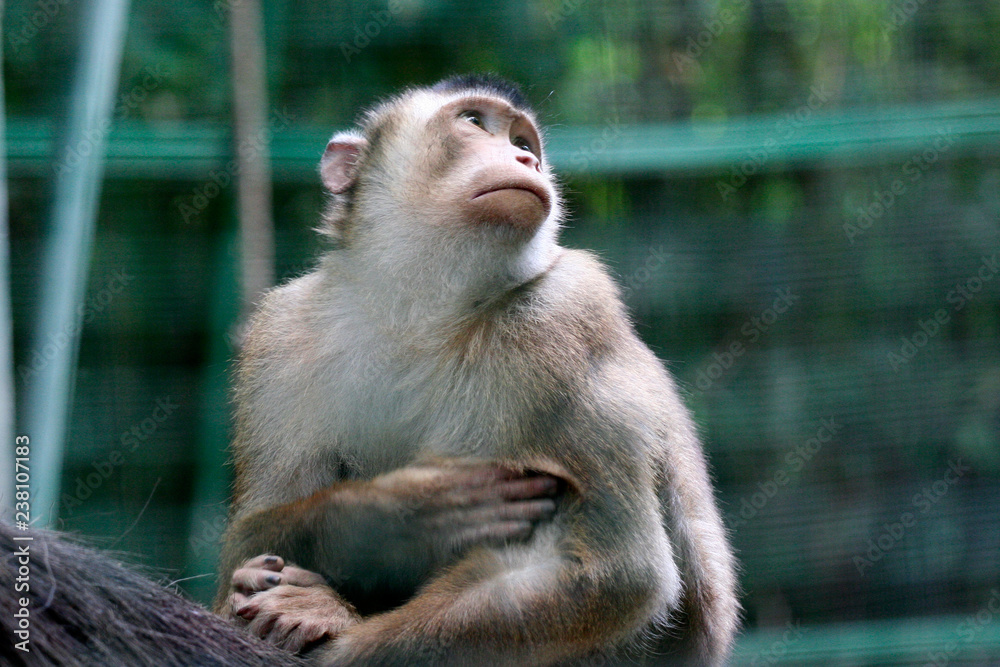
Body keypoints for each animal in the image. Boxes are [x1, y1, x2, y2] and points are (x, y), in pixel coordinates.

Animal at [216, 73, 739, 666]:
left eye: (524, 141)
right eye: (472, 122)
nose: (524, 159)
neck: (423, 311)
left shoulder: (563, 311)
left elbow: (615, 572)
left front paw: (338, 632)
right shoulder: (281, 335)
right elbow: (248, 539)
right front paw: (394, 516)